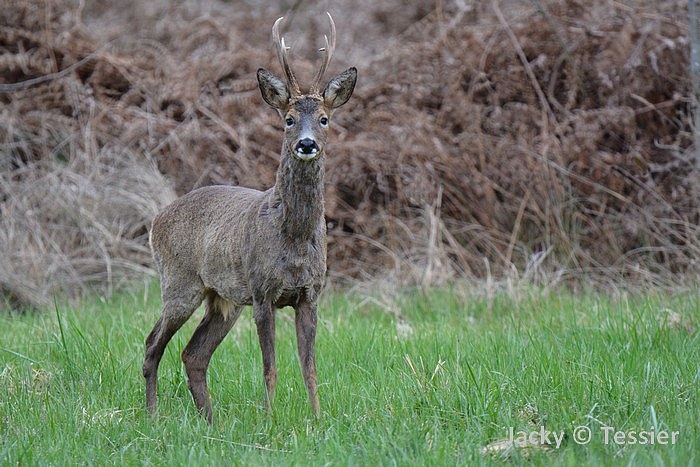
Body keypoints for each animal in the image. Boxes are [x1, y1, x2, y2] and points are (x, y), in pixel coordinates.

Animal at [142, 13, 356, 424]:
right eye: (288, 119)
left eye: (324, 118)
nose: (307, 144)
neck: (294, 239)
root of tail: (156, 221)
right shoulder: (262, 291)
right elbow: (269, 366)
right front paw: (269, 419)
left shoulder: (310, 294)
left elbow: (310, 367)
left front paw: (318, 418)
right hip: (179, 282)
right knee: (152, 343)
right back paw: (154, 415)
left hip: (222, 298)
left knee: (193, 354)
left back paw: (209, 420)